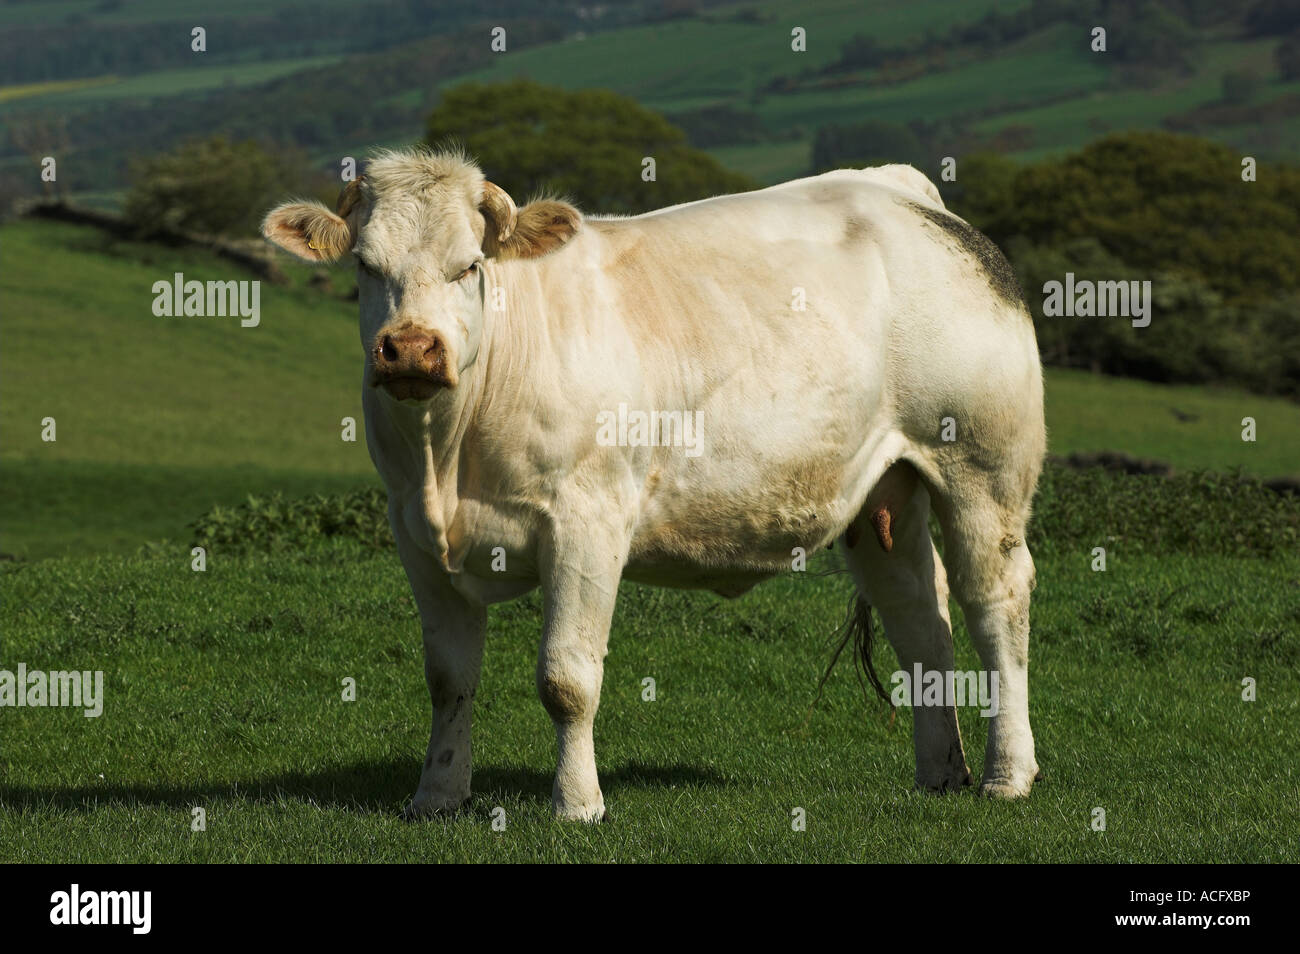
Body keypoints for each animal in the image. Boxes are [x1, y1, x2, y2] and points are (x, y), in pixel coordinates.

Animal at [263, 149, 1045, 821]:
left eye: (469, 266)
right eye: (365, 265)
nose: (411, 349)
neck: (446, 460)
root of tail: (901, 192)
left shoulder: (587, 522)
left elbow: (567, 679)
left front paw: (577, 804)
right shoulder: (416, 537)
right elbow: (448, 679)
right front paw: (436, 796)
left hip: (981, 467)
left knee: (994, 605)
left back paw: (1007, 775)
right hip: (885, 492)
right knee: (920, 617)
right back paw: (940, 772)